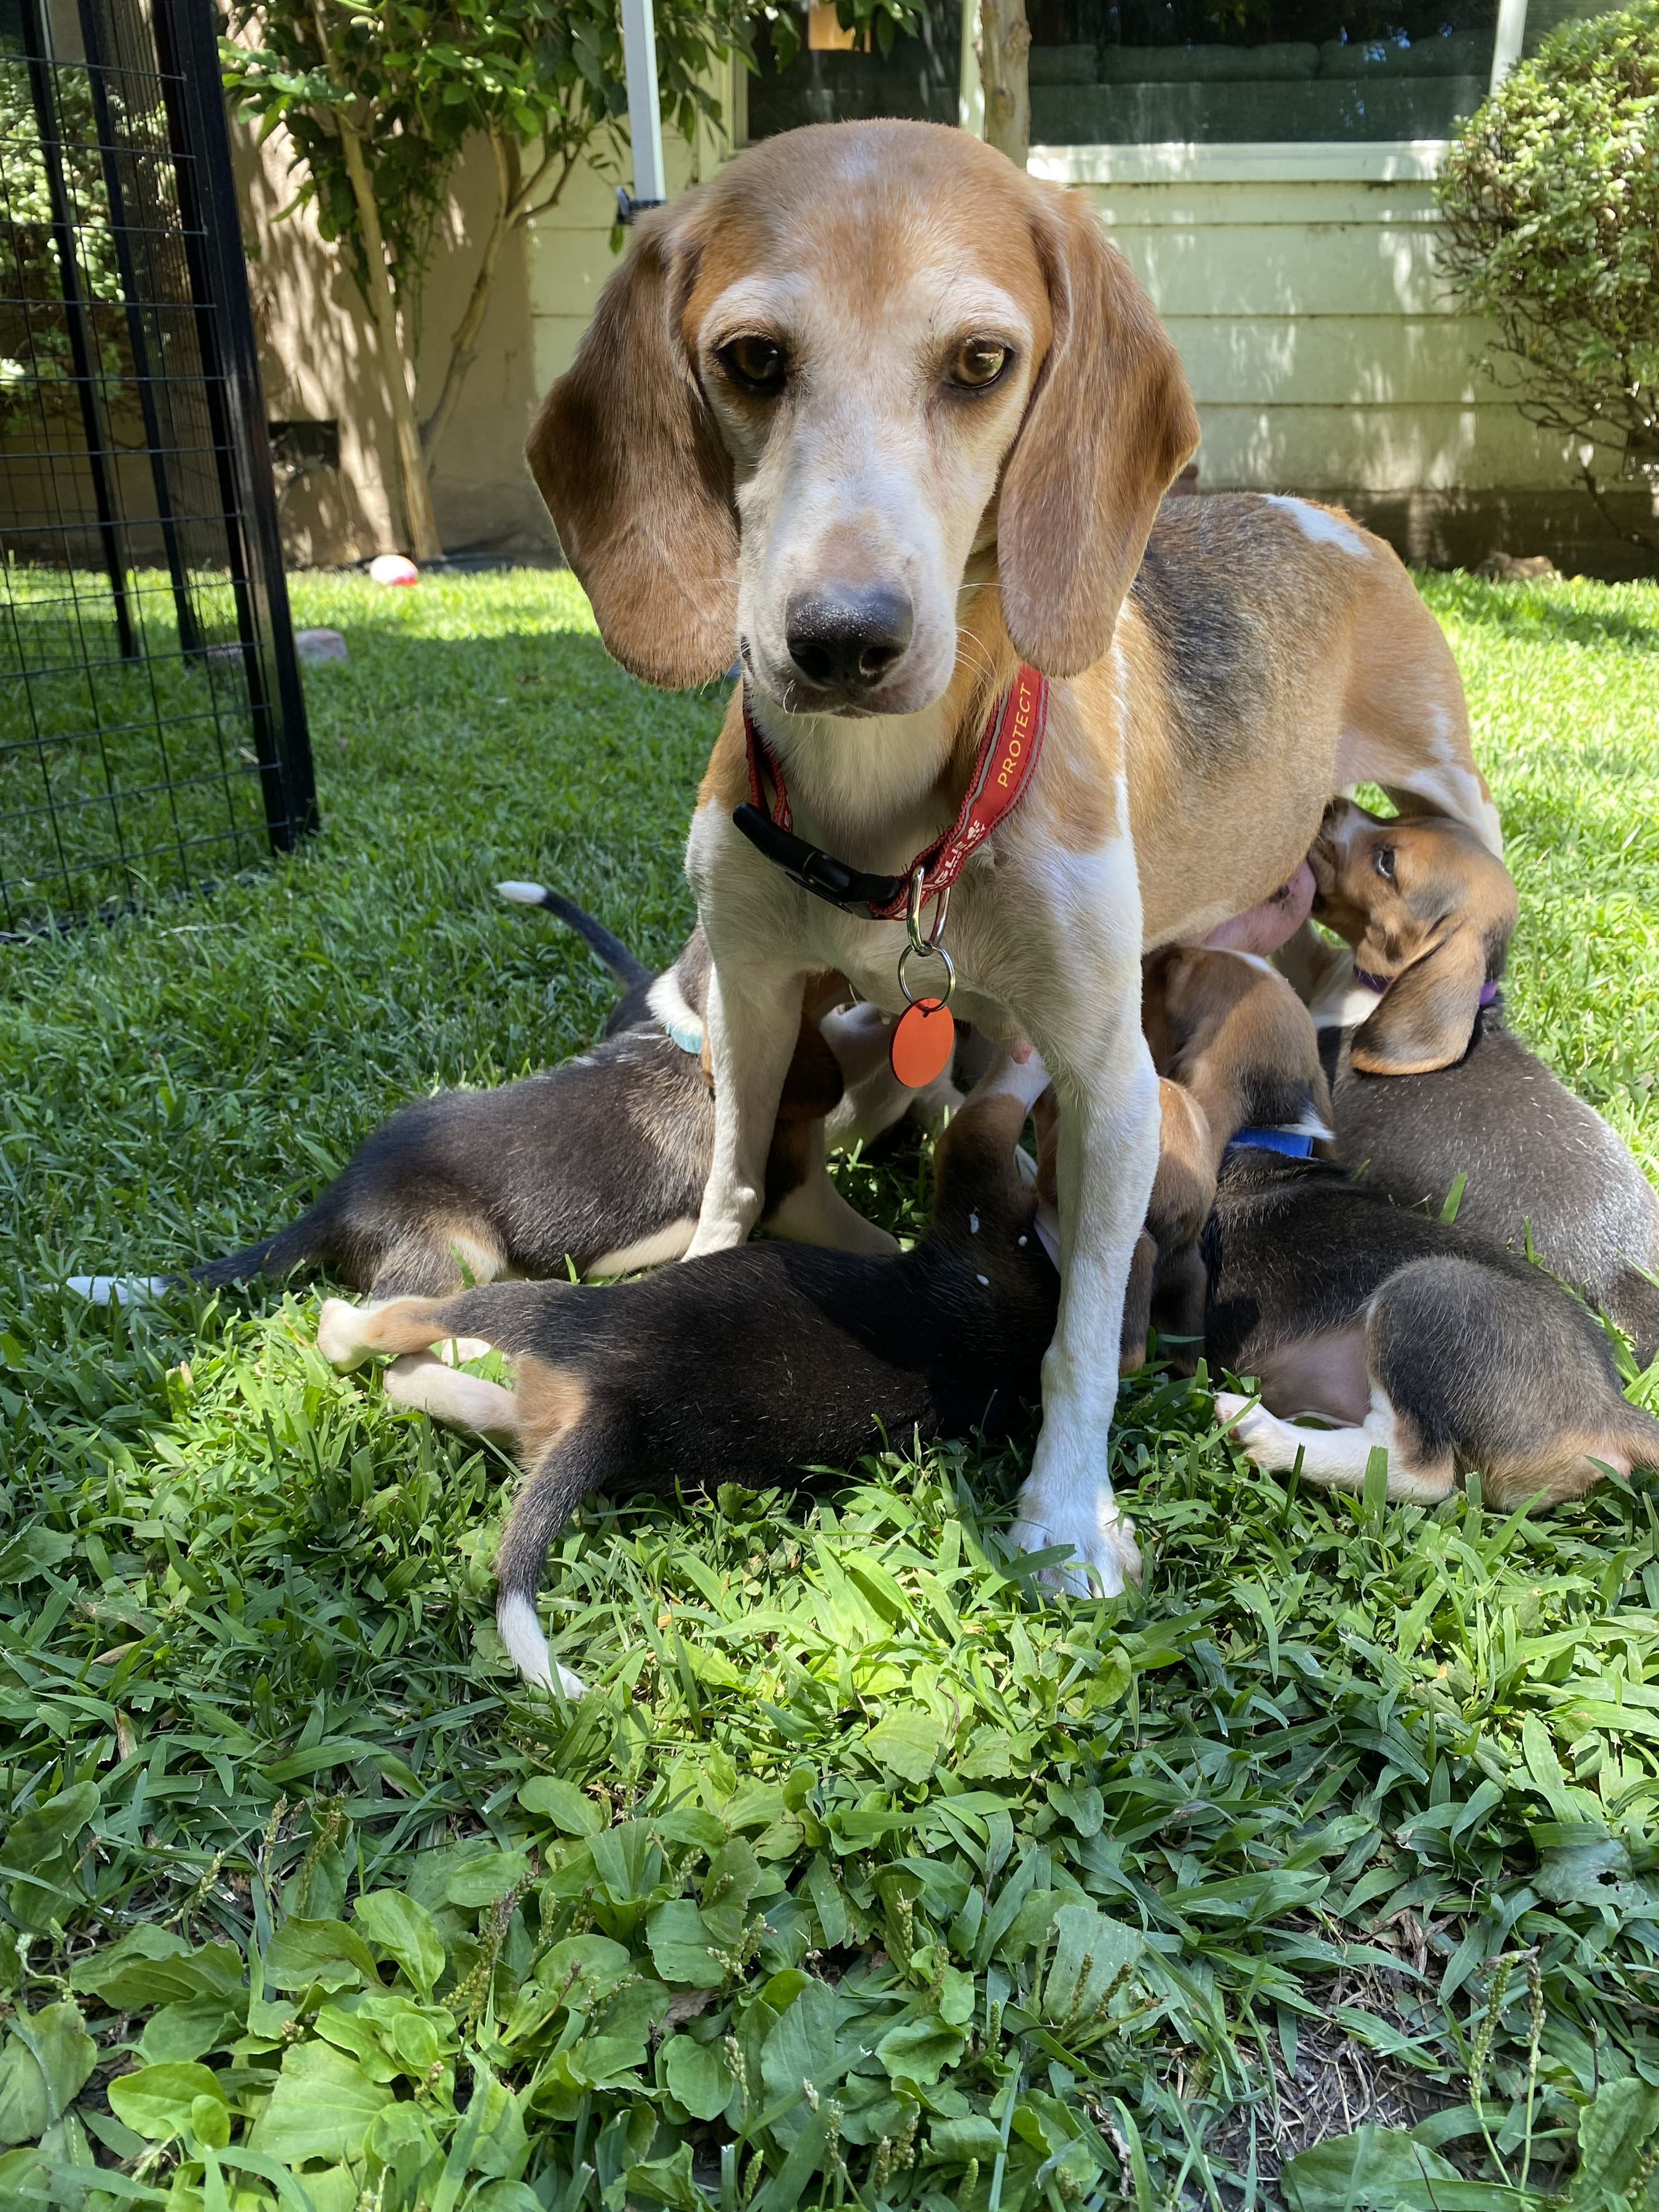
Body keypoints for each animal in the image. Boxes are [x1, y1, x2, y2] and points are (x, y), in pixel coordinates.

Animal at [528, 116, 1504, 1593]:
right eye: (751, 359)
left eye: (981, 364)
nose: (842, 638)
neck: (886, 808)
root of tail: (1313, 509)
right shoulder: (751, 1003)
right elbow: (739, 1173)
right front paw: (705, 1274)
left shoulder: (1110, 1080)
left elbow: (1080, 1332)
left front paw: (1066, 1514)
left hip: (1449, 787)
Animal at [1141, 951, 1659, 1521]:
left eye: (1175, 979)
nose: (1160, 953)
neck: (1270, 1132)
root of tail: (1608, 1408)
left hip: (1425, 1292)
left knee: (1418, 1471)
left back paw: (1264, 1432)